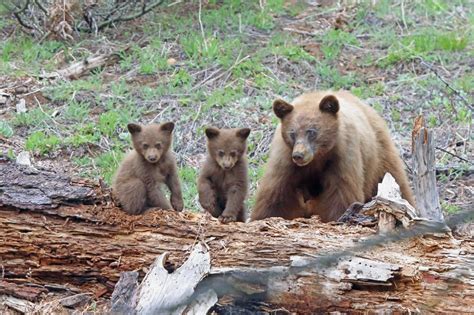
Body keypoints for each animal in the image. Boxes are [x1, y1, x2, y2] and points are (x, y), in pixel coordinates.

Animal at [252, 90, 414, 223]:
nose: (299, 155)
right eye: (292, 133)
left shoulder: (342, 155)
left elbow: (340, 194)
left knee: (396, 178)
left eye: (312, 131)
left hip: (380, 155)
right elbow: (275, 195)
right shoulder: (285, 160)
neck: (318, 158)